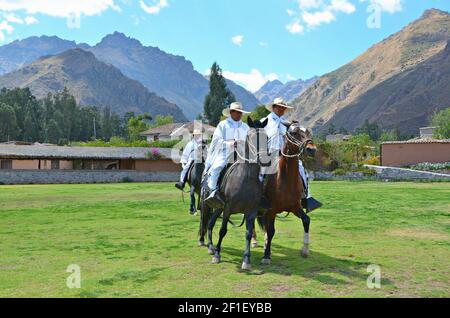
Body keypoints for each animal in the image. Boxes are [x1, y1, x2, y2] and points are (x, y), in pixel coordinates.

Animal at [200, 117, 268, 270]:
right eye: (252, 137)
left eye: (266, 137)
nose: (265, 160)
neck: (246, 177)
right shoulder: (228, 208)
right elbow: (223, 230)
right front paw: (217, 255)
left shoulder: (251, 211)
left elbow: (248, 233)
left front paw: (246, 260)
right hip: (206, 205)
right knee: (205, 222)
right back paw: (208, 246)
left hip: (218, 208)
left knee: (210, 223)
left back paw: (211, 246)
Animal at [258, 123, 318, 264]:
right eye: (294, 132)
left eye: (309, 132)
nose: (311, 149)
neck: (285, 178)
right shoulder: (271, 210)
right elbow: (271, 231)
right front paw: (266, 256)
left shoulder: (295, 207)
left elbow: (306, 220)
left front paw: (305, 250)